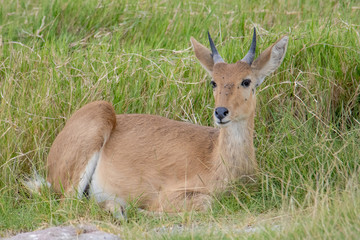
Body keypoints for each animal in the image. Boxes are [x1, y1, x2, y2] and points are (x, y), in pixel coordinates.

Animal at [45, 28, 288, 218]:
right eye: (213, 82)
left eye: (246, 81)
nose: (220, 112)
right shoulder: (172, 193)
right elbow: (204, 203)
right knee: (69, 205)